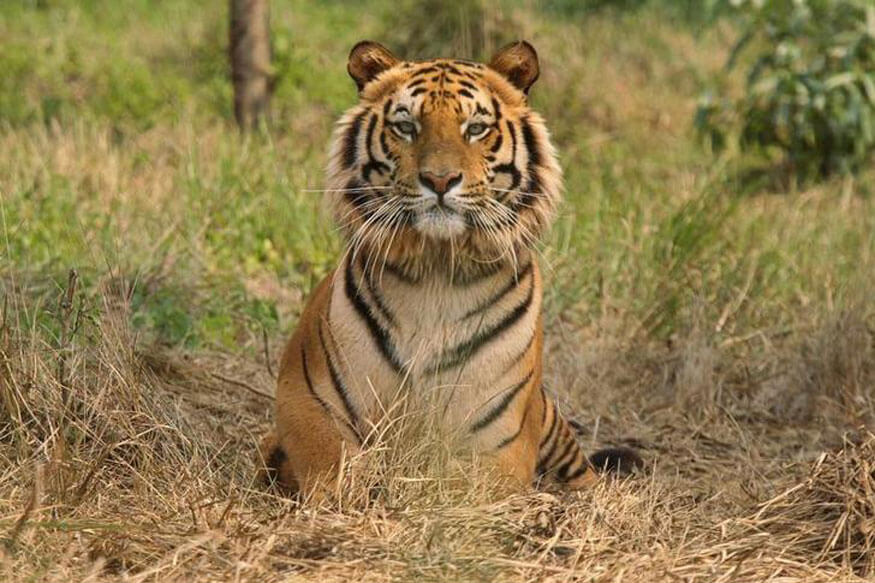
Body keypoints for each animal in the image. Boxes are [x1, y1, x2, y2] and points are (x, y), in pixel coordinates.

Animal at [258, 40, 640, 500]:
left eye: (475, 128)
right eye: (406, 126)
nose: (439, 180)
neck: (436, 272)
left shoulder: (498, 437)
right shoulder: (305, 398)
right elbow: (331, 464)